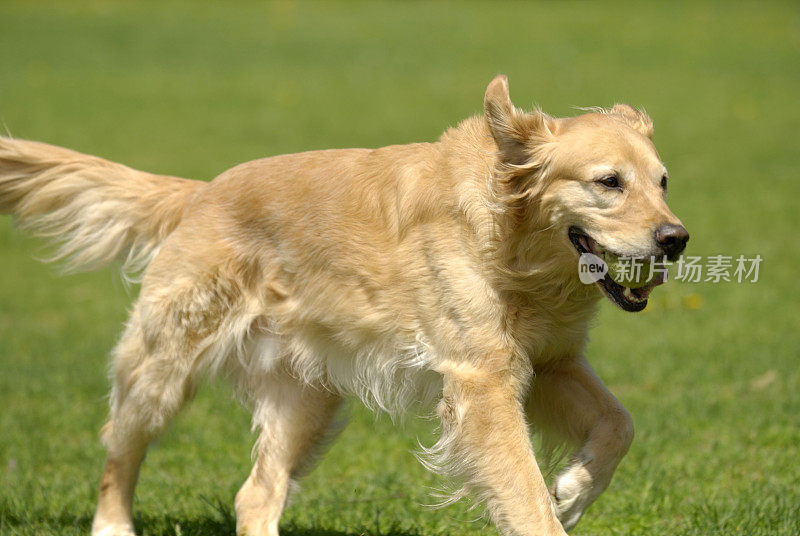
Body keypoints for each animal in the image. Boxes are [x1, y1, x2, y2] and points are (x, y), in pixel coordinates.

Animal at [0, 76, 688, 536]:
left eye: (662, 182)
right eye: (608, 182)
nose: (676, 239)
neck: (511, 245)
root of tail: (201, 192)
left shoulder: (550, 364)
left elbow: (620, 425)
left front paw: (571, 490)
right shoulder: (484, 384)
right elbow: (525, 498)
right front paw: (556, 501)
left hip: (308, 400)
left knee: (255, 495)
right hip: (164, 365)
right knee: (120, 447)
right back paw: (113, 523)